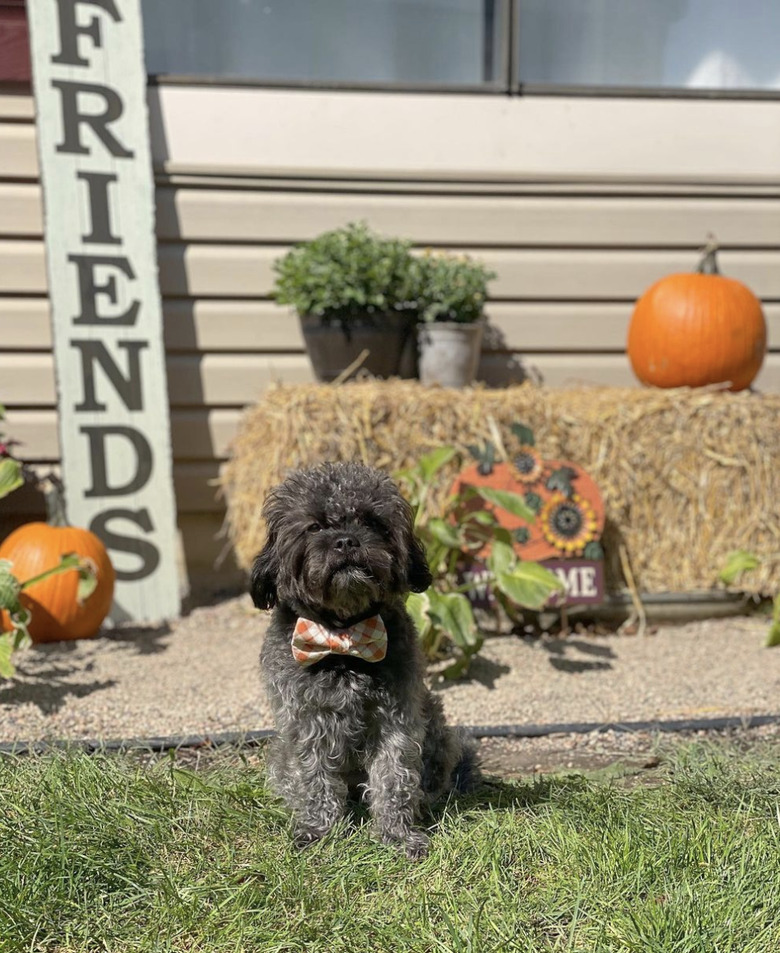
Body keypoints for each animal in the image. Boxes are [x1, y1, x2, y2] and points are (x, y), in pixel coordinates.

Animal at [253, 458, 478, 860]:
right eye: (314, 526)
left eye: (372, 522)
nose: (345, 540)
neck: (344, 637)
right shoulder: (306, 724)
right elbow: (315, 779)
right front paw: (319, 830)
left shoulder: (397, 720)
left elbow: (394, 778)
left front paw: (397, 835)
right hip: (280, 752)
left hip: (437, 729)